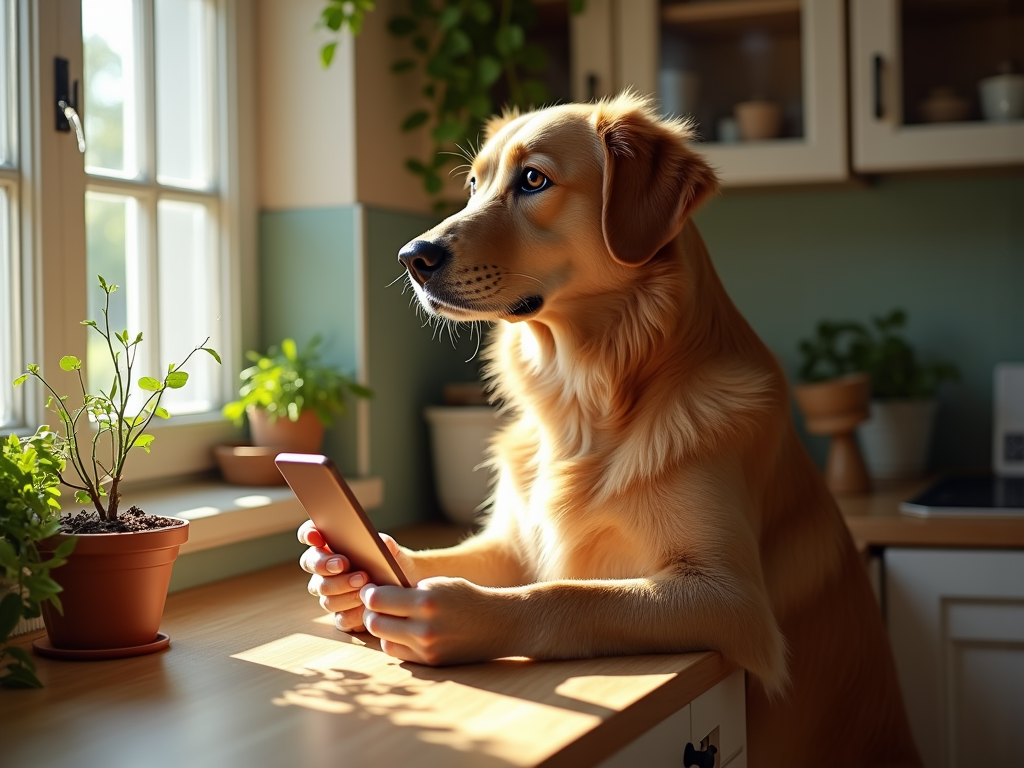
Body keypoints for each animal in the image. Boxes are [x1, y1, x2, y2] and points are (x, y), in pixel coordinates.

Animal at [299, 94, 921, 768]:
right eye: (472, 185)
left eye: (533, 180)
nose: (412, 257)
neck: (585, 404)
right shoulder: (516, 542)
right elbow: (431, 557)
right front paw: (342, 571)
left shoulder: (733, 601)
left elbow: (571, 595)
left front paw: (460, 613)